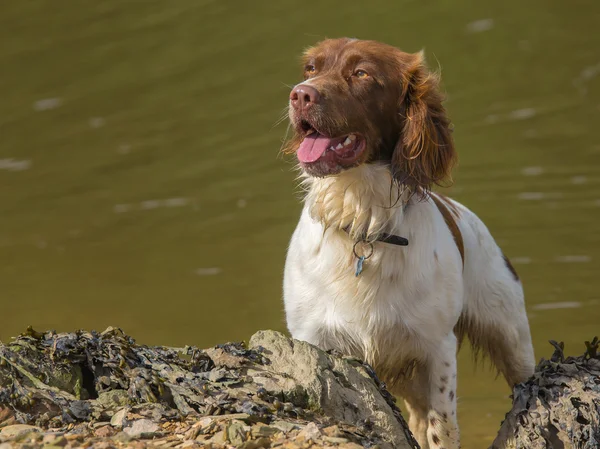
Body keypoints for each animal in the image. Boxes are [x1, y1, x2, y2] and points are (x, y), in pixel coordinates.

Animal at [282, 38, 536, 448]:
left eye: (361, 73)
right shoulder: (314, 339)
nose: (300, 94)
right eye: (311, 68)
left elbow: (441, 428)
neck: (364, 224)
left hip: (510, 337)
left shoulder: (436, 348)